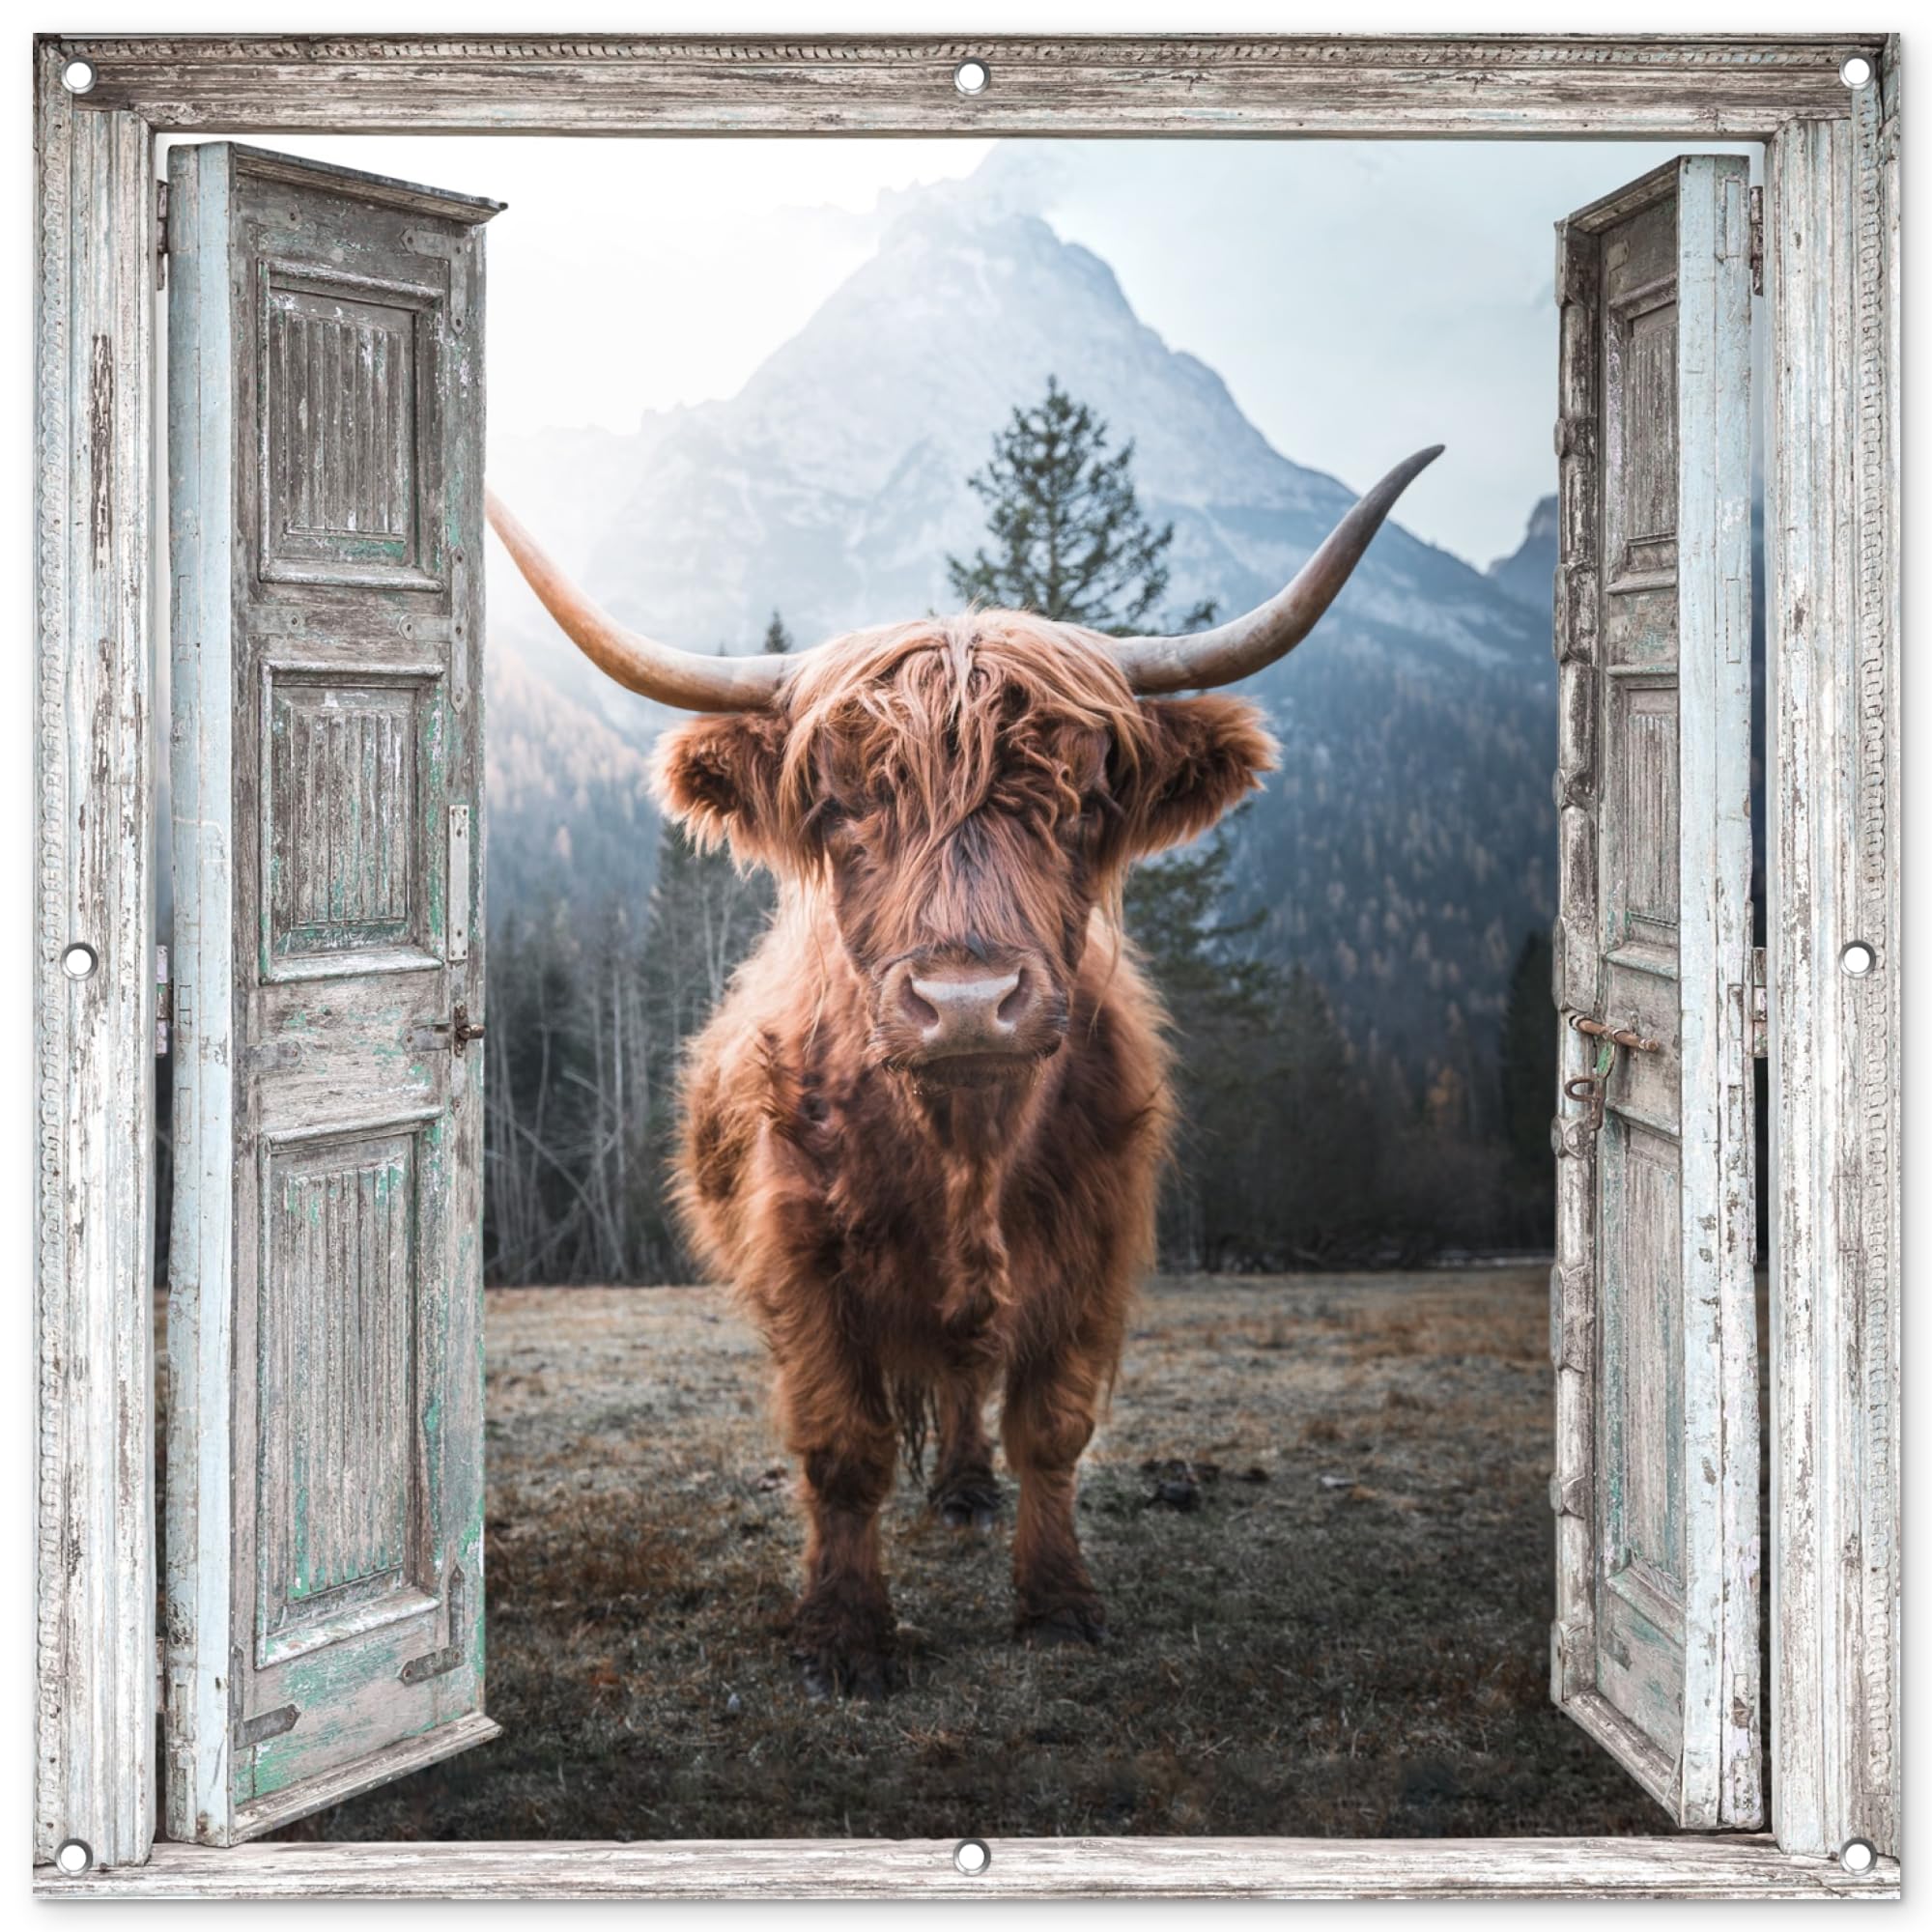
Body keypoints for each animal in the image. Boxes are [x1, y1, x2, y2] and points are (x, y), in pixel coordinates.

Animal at [486, 445, 1439, 1696]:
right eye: (840, 806)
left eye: (1082, 801)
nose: (967, 1002)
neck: (964, 1146)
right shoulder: (802, 1259)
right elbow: (842, 1445)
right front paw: (843, 1633)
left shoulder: (1091, 1247)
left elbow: (1052, 1426)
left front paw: (1059, 1601)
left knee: (965, 1375)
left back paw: (965, 1487)